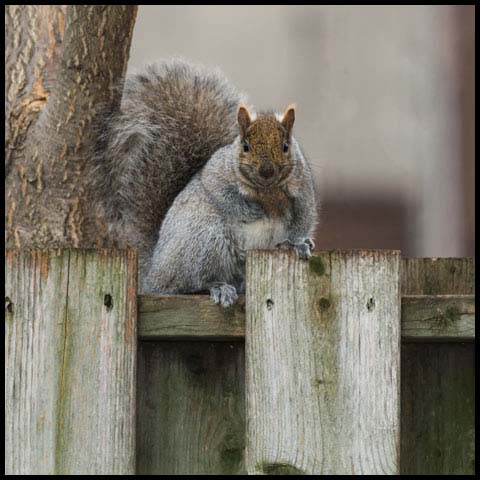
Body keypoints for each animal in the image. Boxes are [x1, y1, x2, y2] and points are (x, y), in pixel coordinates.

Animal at [94, 58, 318, 306]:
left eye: (286, 147)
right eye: (245, 146)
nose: (266, 171)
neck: (267, 191)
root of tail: (153, 271)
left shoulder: (302, 192)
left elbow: (302, 220)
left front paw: (298, 243)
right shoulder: (216, 175)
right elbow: (224, 196)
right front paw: (254, 211)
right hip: (205, 239)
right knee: (186, 285)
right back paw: (217, 287)